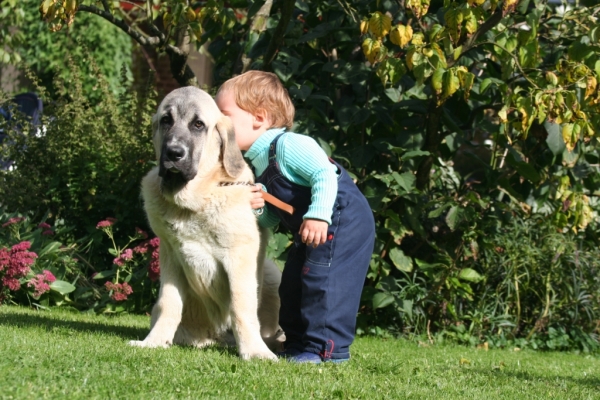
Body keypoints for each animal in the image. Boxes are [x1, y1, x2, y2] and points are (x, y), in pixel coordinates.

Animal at [128, 86, 282, 360]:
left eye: (198, 124)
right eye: (166, 120)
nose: (174, 153)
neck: (195, 201)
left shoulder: (239, 257)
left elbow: (242, 306)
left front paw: (254, 352)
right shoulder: (171, 257)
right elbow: (168, 303)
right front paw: (154, 341)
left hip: (272, 274)